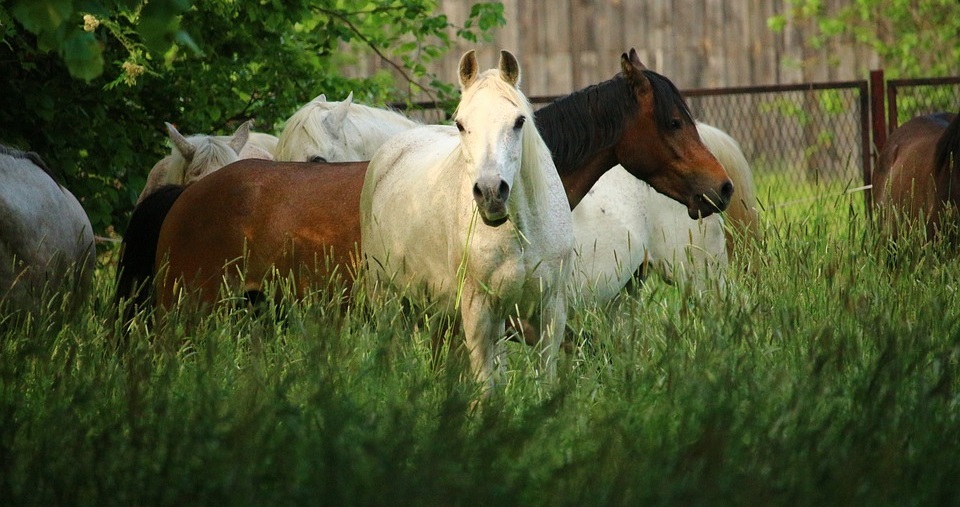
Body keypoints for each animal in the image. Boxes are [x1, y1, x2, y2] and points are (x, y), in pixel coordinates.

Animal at [360, 50, 574, 391]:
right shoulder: (478, 308)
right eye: (461, 124)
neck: (521, 232)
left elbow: (543, 377)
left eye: (519, 121)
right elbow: (486, 385)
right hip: (387, 297)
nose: (490, 193)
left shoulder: (551, 307)